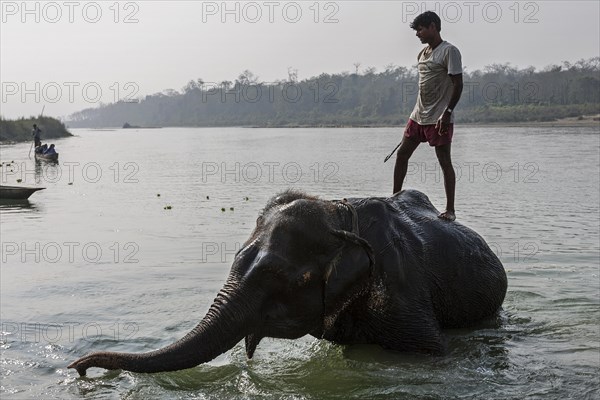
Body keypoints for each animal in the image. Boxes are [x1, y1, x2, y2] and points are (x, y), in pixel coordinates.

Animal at [69, 189, 506, 376]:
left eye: (278, 277)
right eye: (236, 260)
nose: (80, 368)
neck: (339, 214)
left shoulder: (400, 288)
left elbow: (430, 351)